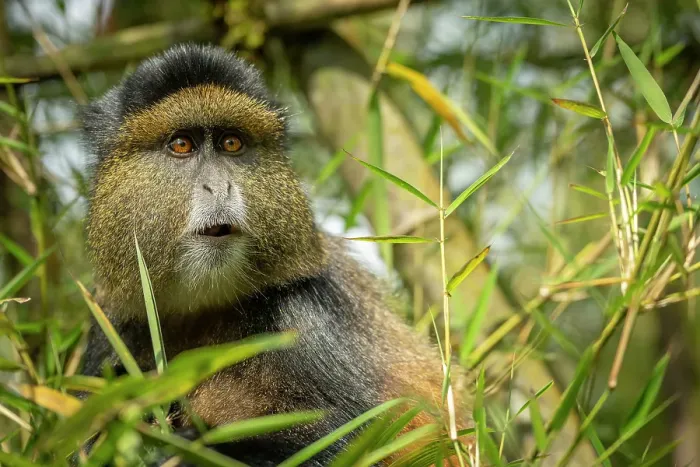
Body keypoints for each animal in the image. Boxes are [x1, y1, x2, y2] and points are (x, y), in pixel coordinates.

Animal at [79, 43, 471, 465]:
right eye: (181, 145)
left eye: (231, 144)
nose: (219, 186)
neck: (203, 311)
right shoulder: (110, 322)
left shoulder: (305, 312)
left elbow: (369, 443)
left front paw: (183, 446)